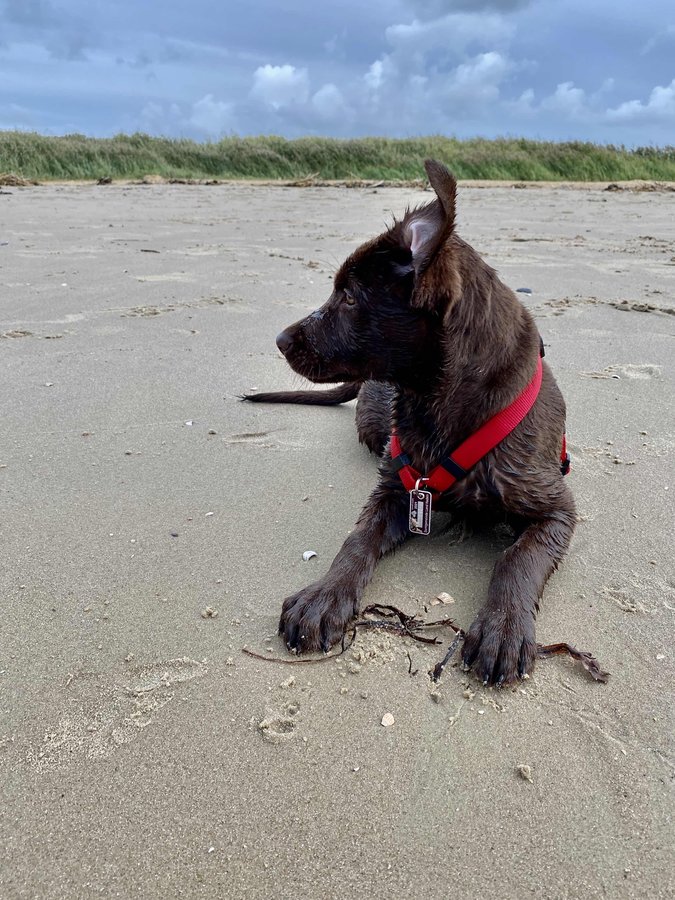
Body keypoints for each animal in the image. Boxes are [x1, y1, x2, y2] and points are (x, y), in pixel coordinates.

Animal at [244, 160, 575, 685]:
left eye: (350, 297)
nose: (279, 339)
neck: (436, 403)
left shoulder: (556, 509)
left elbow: (516, 559)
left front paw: (503, 628)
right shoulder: (394, 487)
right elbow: (355, 540)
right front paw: (324, 597)